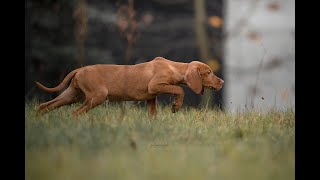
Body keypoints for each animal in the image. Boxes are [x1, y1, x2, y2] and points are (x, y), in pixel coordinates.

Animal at [35, 57, 224, 117]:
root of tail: (80, 69)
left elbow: (152, 114)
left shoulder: (151, 97)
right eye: (209, 72)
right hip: (97, 95)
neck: (174, 67)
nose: (222, 82)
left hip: (72, 95)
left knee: (44, 106)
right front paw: (176, 106)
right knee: (75, 113)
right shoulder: (155, 86)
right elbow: (180, 89)